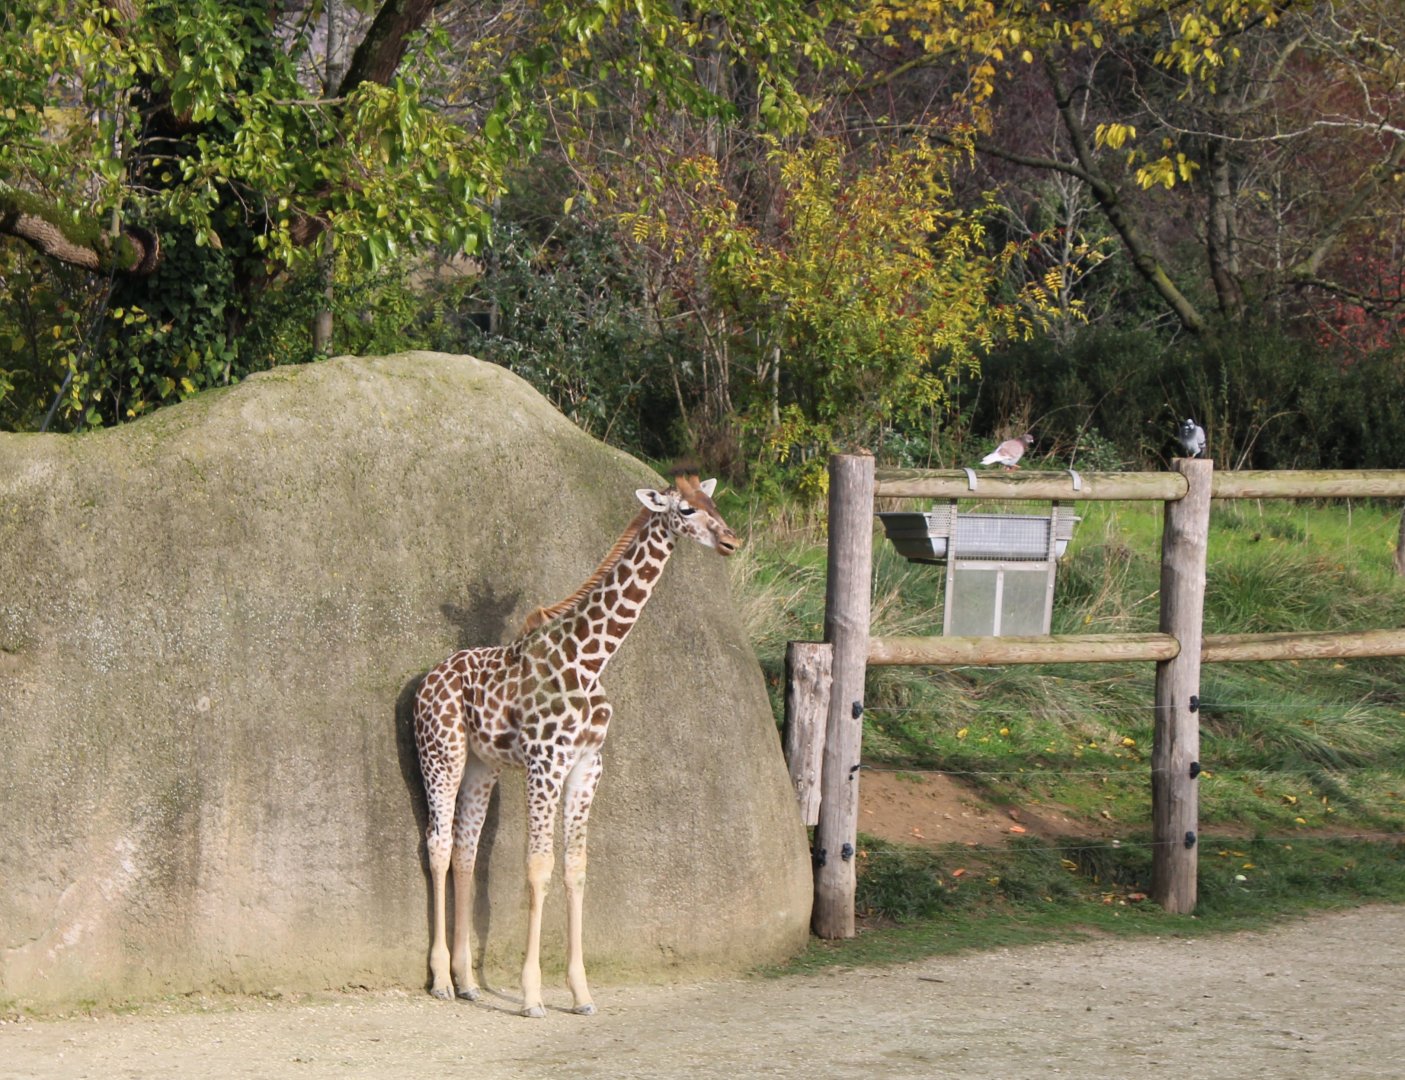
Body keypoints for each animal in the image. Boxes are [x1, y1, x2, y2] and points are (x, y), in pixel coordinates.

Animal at [413, 471, 740, 1017]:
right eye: (686, 510)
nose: (732, 542)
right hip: (442, 754)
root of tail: (424, 680)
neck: (591, 660)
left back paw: (467, 981)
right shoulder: (546, 761)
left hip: (483, 766)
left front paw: (581, 993)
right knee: (437, 844)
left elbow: (575, 868)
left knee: (464, 849)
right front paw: (531, 996)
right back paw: (439, 979)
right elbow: (538, 866)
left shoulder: (588, 765)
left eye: (713, 503)